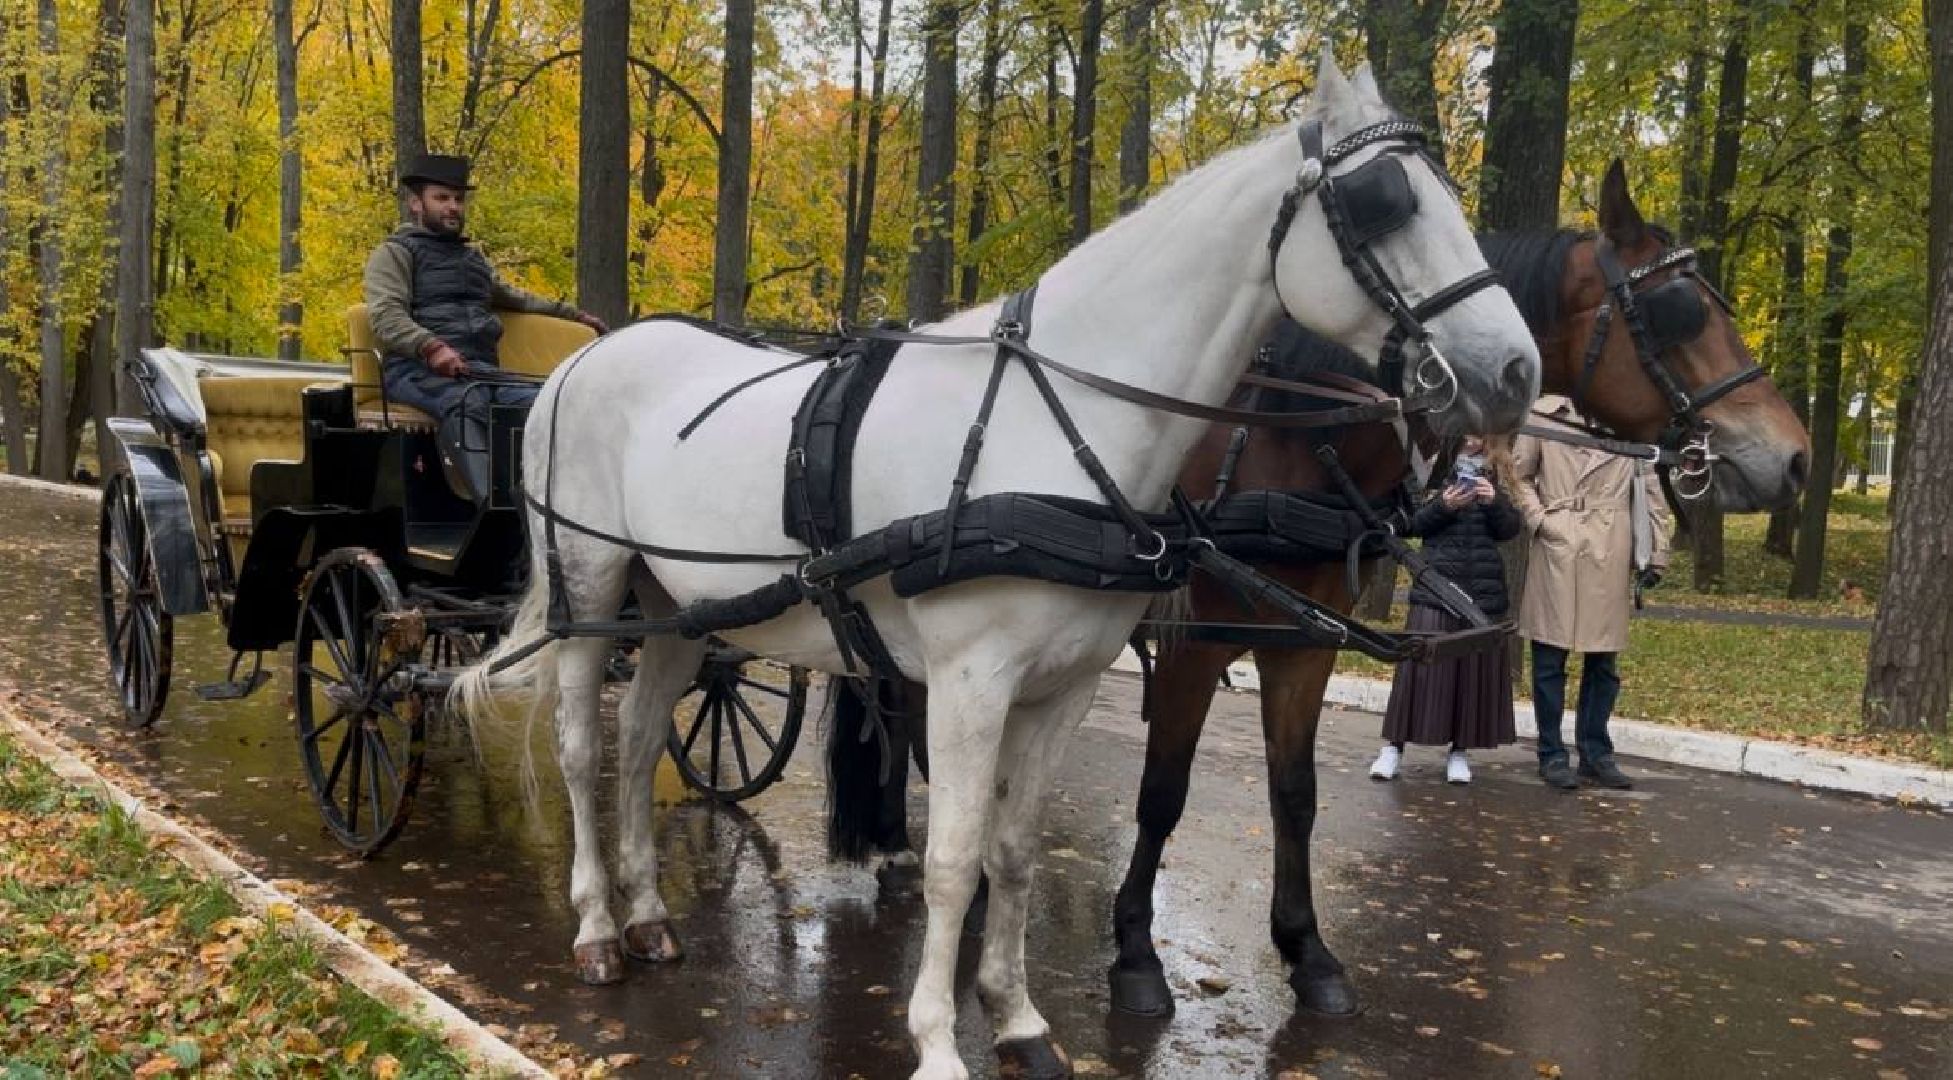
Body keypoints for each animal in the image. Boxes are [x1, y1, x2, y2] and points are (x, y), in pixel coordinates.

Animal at [452, 50, 1539, 1080]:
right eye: (1387, 202)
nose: (1515, 372)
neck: (1051, 420)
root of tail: (582, 361)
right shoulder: (973, 679)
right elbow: (953, 856)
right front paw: (937, 1041)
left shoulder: (1065, 685)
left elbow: (1012, 853)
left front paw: (1018, 1022)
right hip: (593, 589)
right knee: (584, 750)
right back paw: (597, 927)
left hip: (677, 608)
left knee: (640, 742)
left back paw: (648, 918)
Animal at [1104, 159, 1812, 1021]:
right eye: (1678, 311)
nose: (1794, 457)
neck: (1288, 431)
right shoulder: (1192, 648)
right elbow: (1161, 793)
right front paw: (1136, 952)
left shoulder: (1303, 645)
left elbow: (1294, 794)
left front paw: (1307, 951)